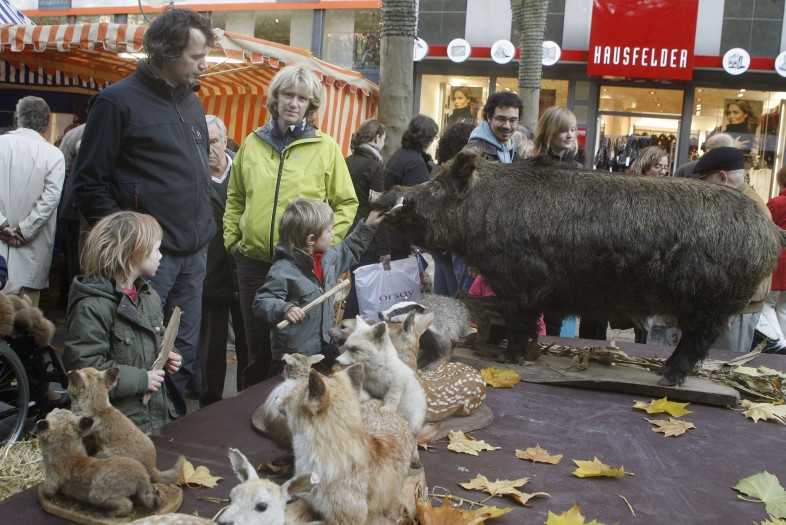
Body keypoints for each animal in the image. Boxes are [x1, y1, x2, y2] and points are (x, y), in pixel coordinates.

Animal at [371, 151, 786, 386]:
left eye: (437, 186)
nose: (385, 195)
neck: (483, 214)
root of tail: (768, 232)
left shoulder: (524, 281)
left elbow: (519, 322)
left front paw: (508, 359)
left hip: (709, 304)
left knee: (696, 343)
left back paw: (666, 379)